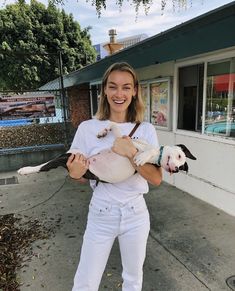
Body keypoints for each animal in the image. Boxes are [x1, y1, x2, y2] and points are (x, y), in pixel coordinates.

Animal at [17, 122, 196, 182]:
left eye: (181, 167)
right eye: (179, 156)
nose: (175, 169)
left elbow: (150, 151)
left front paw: (142, 157)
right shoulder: (122, 139)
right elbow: (113, 124)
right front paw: (102, 132)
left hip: (66, 160)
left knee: (45, 166)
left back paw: (25, 170)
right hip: (69, 156)